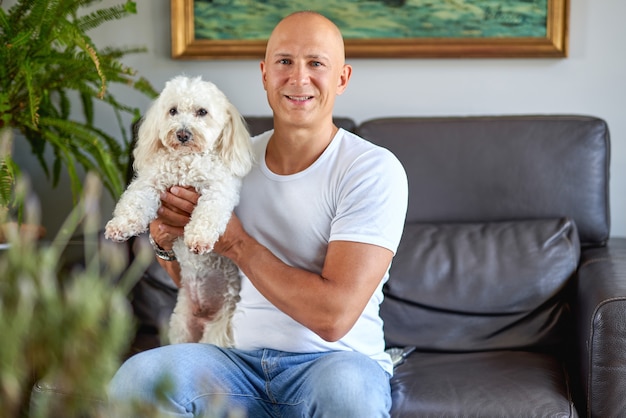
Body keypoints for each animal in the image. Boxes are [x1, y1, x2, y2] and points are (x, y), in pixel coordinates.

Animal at [105, 74, 254, 346]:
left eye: (202, 112)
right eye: (172, 111)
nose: (183, 134)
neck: (186, 160)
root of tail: (204, 315)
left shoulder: (219, 190)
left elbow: (209, 213)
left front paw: (198, 238)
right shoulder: (150, 182)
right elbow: (134, 201)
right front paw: (120, 226)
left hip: (219, 329)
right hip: (181, 324)